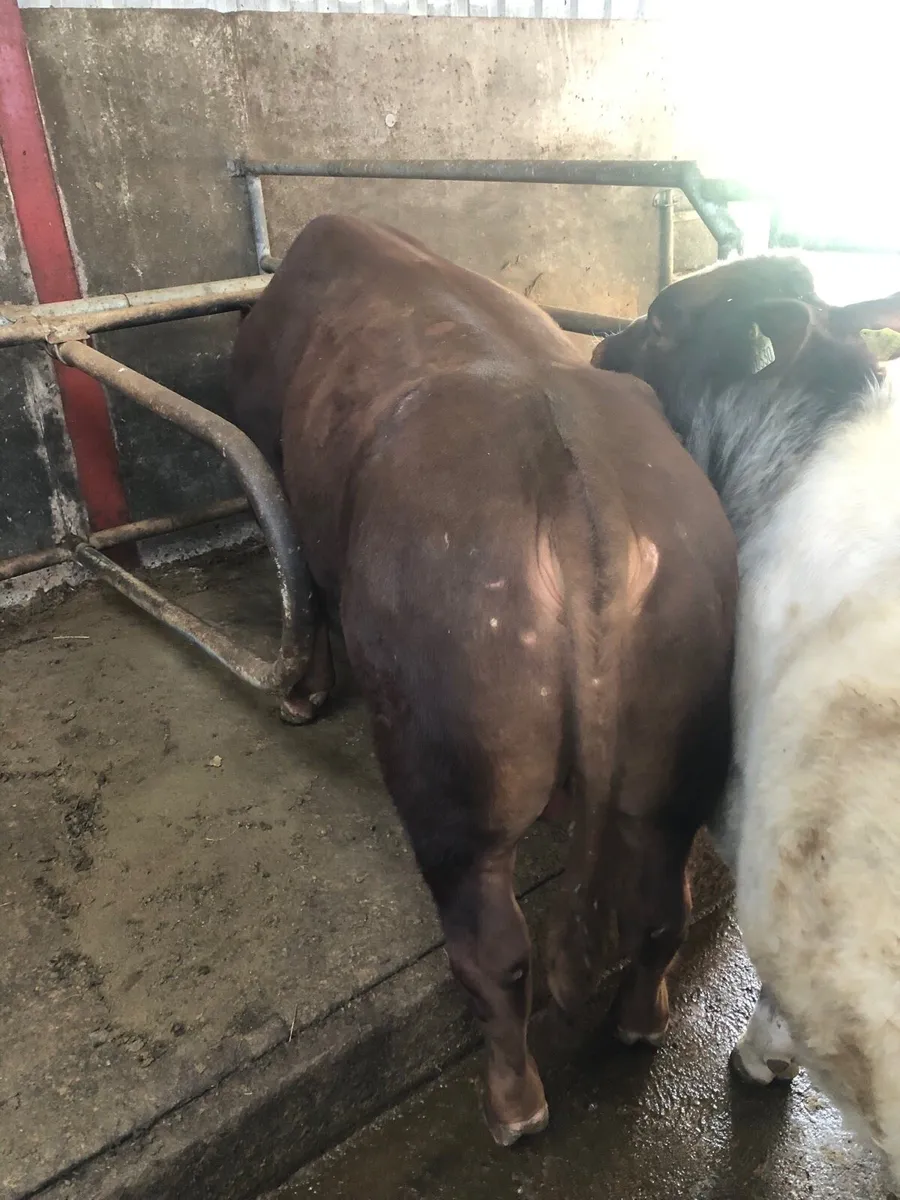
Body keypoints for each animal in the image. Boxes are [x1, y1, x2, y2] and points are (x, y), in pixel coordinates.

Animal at [229, 214, 736, 1145]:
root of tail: (574, 488)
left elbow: (303, 581)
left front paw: (304, 696)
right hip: (681, 746)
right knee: (659, 907)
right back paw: (638, 1024)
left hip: (452, 775)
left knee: (495, 952)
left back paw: (514, 1108)